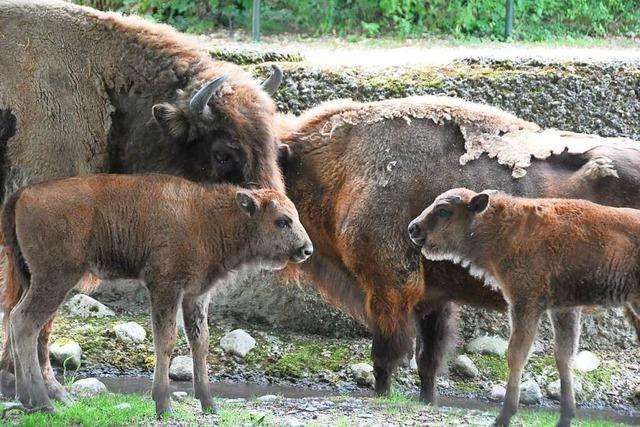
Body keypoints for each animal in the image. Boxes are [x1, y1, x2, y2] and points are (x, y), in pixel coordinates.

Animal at [0, 0, 284, 406]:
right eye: (223, 153)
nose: (266, 206)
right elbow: (32, 309)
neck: (108, 88)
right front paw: (49, 390)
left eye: (275, 146)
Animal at [1, 174, 312, 414]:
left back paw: (26, 398)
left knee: (16, 319)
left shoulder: (196, 296)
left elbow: (200, 343)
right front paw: (164, 404)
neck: (206, 217)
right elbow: (166, 341)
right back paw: (44, 403)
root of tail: (23, 193)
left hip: (32, 278)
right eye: (282, 221)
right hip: (55, 278)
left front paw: (210, 404)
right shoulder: (166, 288)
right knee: (25, 322)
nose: (307, 249)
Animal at [410, 190, 640, 427]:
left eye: (443, 210)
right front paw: (565, 417)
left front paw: (504, 416)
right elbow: (563, 357)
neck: (506, 228)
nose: (413, 228)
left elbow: (516, 355)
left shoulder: (525, 303)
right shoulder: (563, 309)